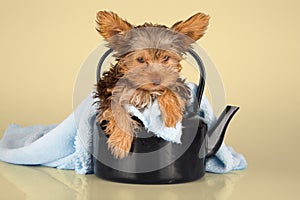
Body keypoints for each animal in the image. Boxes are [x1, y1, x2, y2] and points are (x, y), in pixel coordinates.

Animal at [94, 10, 209, 159]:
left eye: (166, 58)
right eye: (140, 59)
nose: (157, 80)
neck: (144, 90)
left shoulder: (179, 84)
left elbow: (170, 89)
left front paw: (171, 114)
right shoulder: (109, 91)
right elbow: (117, 111)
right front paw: (121, 142)